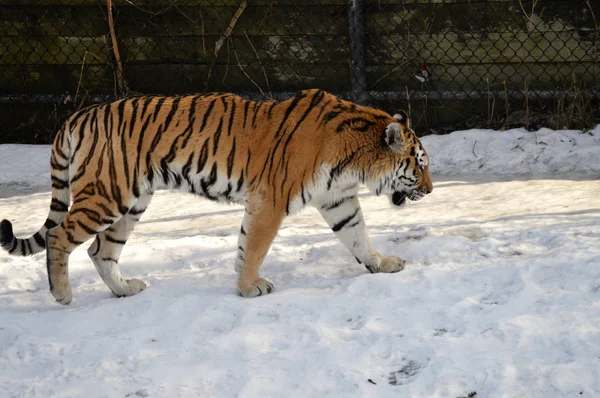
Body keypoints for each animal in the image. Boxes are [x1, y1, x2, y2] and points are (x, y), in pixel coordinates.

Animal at [0, 88, 432, 304]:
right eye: (420, 164)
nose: (429, 190)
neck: (354, 160)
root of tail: (77, 117)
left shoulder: (337, 199)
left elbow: (358, 236)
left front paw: (382, 264)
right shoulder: (270, 200)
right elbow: (254, 247)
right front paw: (249, 288)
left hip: (132, 203)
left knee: (100, 251)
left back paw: (125, 290)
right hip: (107, 195)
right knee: (60, 236)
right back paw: (62, 295)